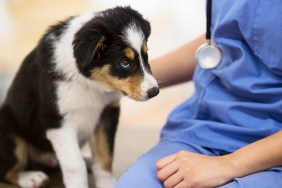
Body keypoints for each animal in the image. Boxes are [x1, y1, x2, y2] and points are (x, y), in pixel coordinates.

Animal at [0, 6, 159, 188]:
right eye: (124, 62)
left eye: (146, 55)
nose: (154, 91)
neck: (90, 84)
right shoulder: (57, 121)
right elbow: (74, 164)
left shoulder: (107, 113)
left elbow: (105, 156)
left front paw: (107, 183)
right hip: (9, 130)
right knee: (7, 168)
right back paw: (31, 177)